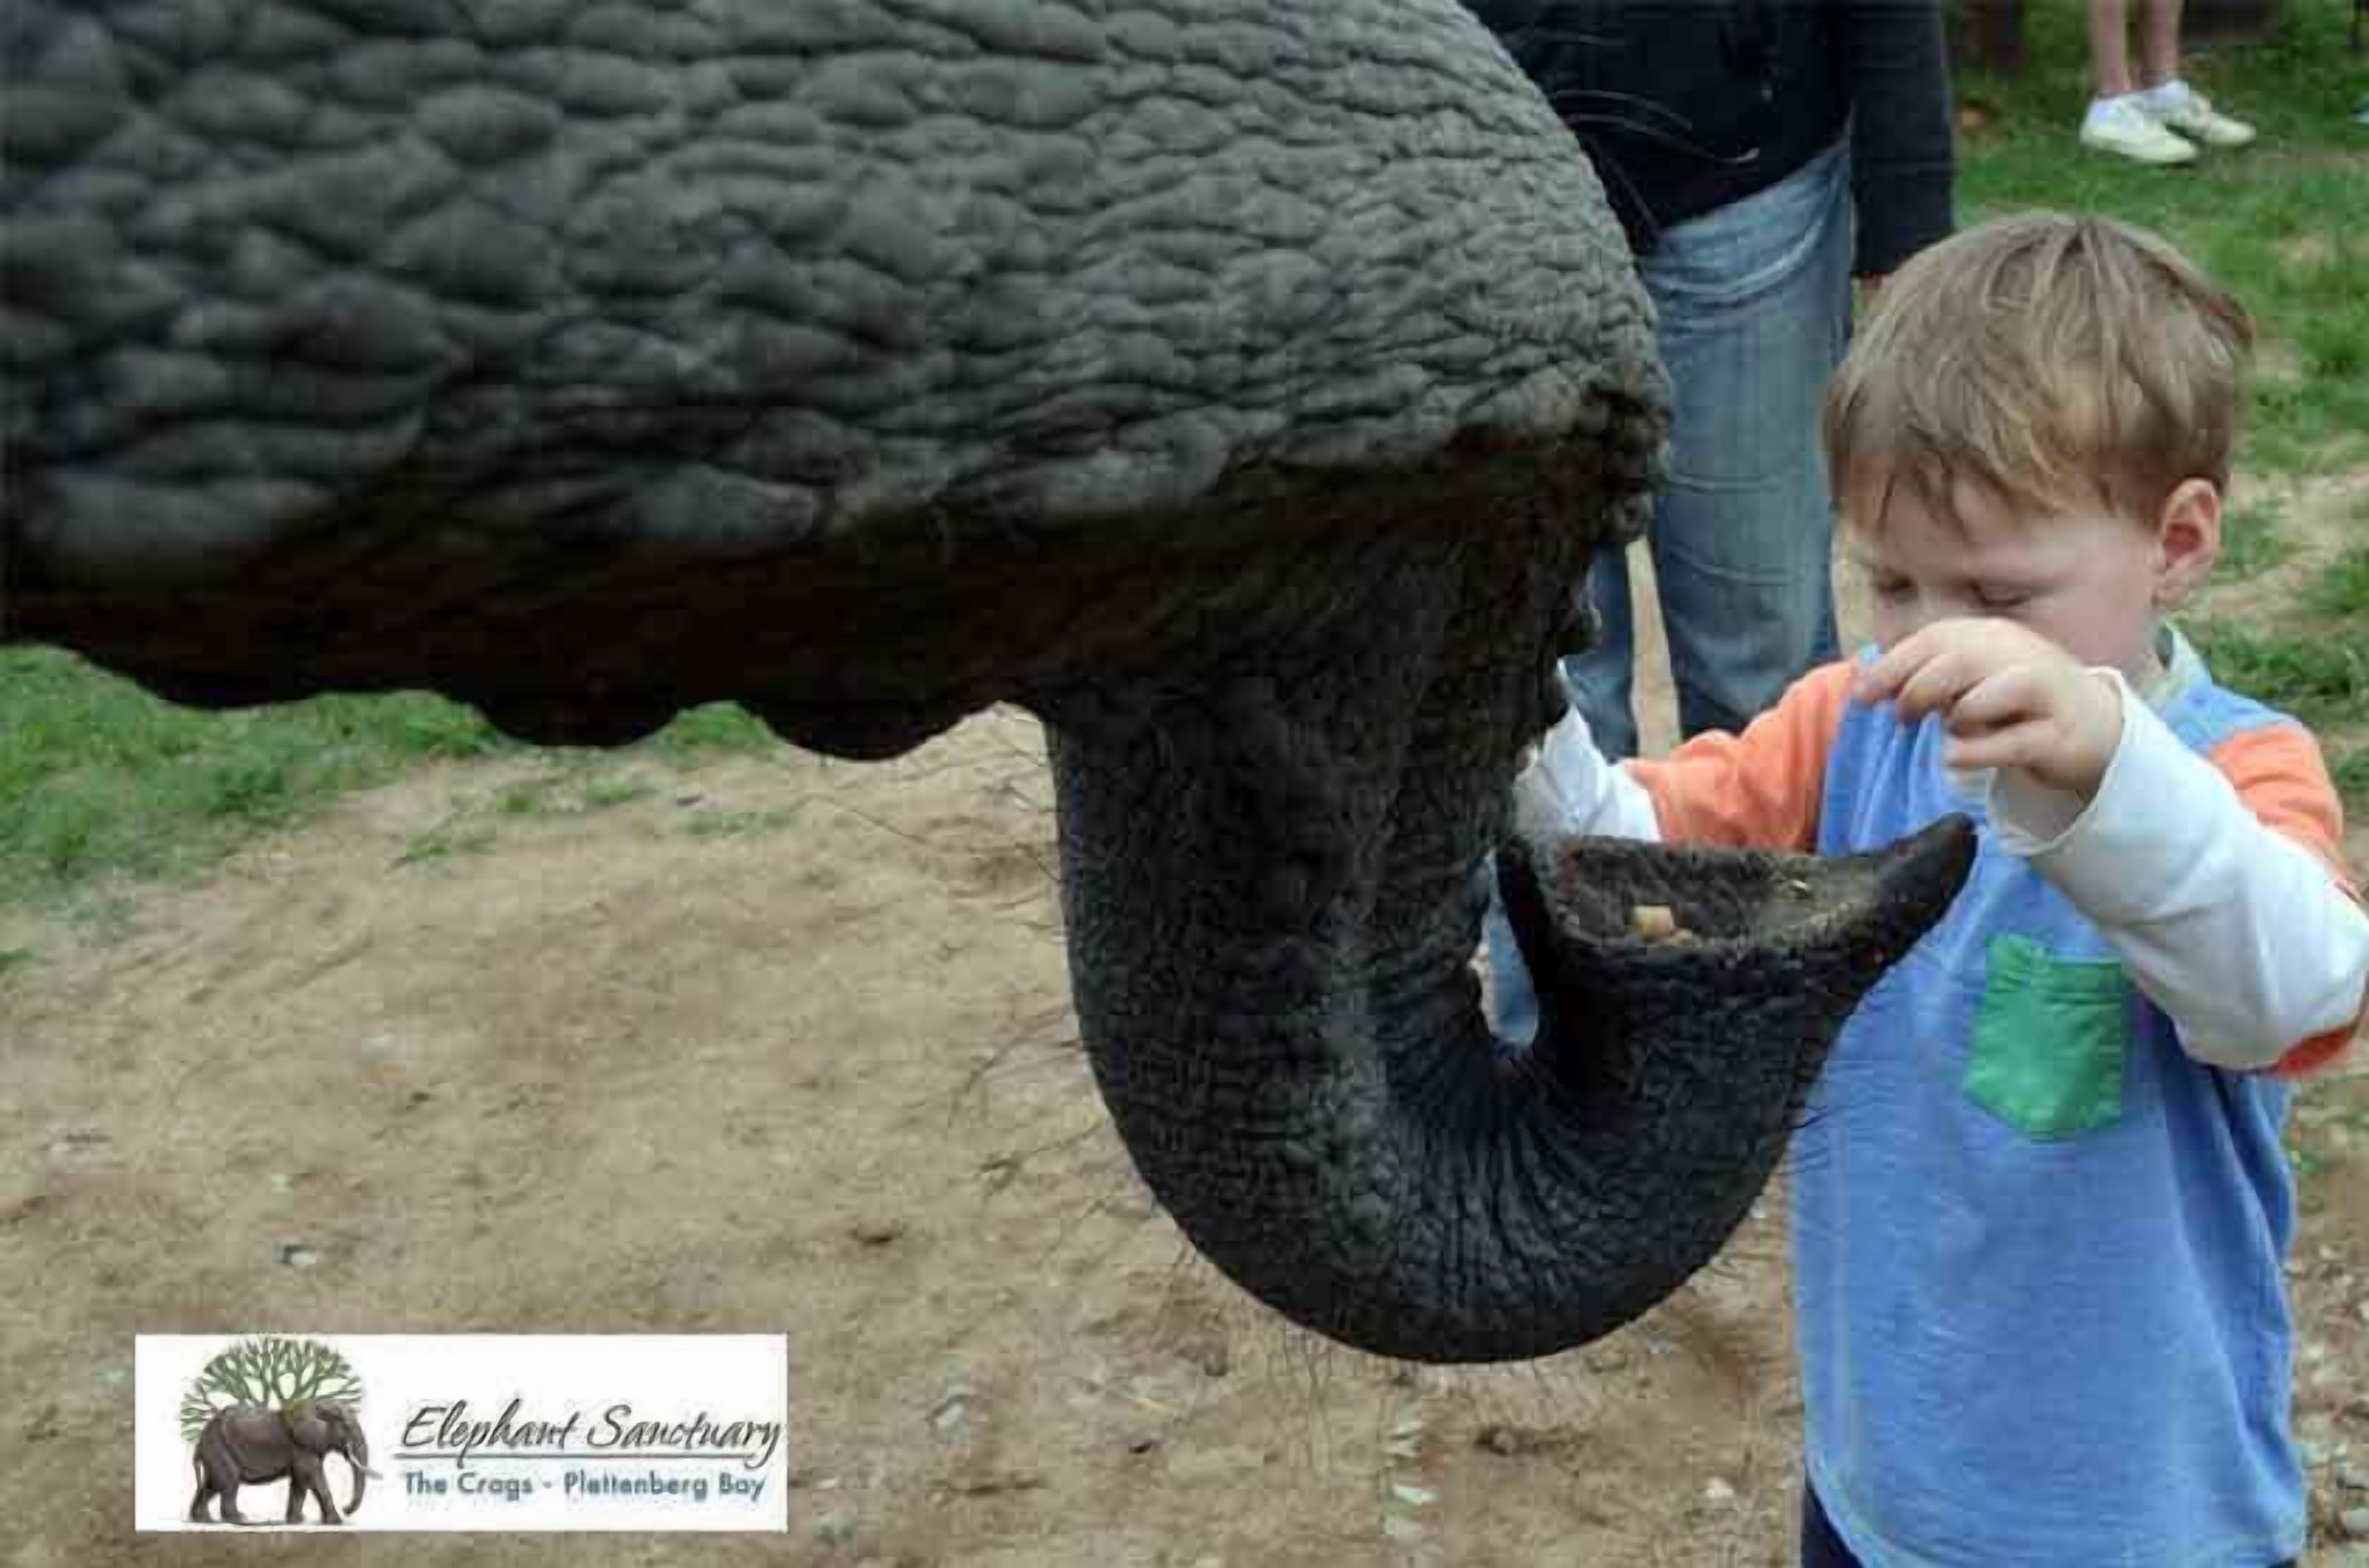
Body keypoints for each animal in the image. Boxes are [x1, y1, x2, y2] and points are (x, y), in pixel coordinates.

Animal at [189, 1399, 380, 1525]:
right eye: (347, 1428)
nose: (346, 1508)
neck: (318, 1404)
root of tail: (199, 1443)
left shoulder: (310, 1446)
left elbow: (301, 1481)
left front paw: (297, 1521)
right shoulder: (302, 1446)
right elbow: (312, 1476)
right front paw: (336, 1522)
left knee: (212, 1484)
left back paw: (203, 1520)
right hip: (218, 1447)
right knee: (228, 1481)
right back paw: (239, 1519)